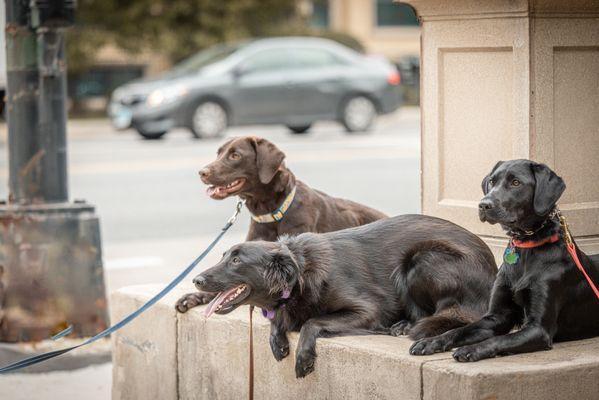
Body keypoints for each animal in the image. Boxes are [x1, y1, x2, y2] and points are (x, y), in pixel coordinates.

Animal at [192, 214, 496, 376]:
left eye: (236, 261)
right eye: (224, 256)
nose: (196, 279)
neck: (301, 274)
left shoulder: (368, 309)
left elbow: (312, 321)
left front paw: (304, 356)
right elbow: (280, 320)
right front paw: (277, 339)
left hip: (421, 258)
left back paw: (401, 326)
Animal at [410, 160, 599, 362]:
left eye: (516, 183)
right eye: (492, 182)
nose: (483, 205)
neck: (527, 246)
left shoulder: (538, 329)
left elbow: (500, 339)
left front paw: (471, 349)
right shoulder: (496, 317)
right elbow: (459, 330)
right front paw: (431, 341)